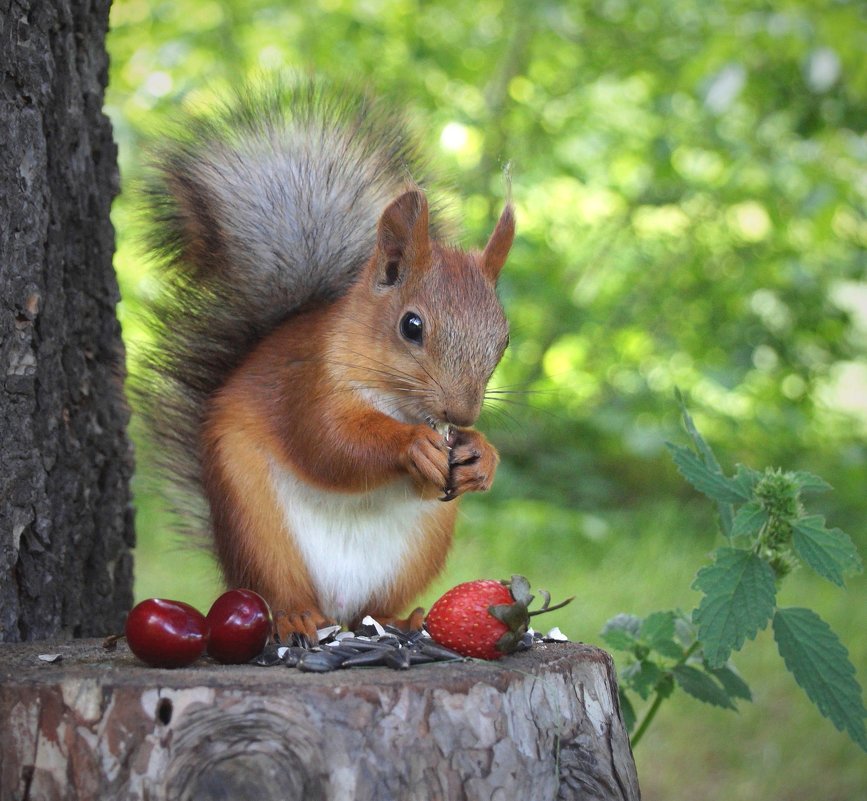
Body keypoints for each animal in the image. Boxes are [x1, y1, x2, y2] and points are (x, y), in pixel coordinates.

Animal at [139, 78, 512, 636]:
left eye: (504, 339)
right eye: (411, 326)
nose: (462, 414)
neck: (393, 401)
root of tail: (334, 608)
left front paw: (480, 456)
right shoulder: (308, 382)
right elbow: (331, 443)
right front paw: (413, 446)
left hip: (417, 551)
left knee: (372, 607)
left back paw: (400, 621)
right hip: (257, 527)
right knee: (282, 591)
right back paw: (296, 618)